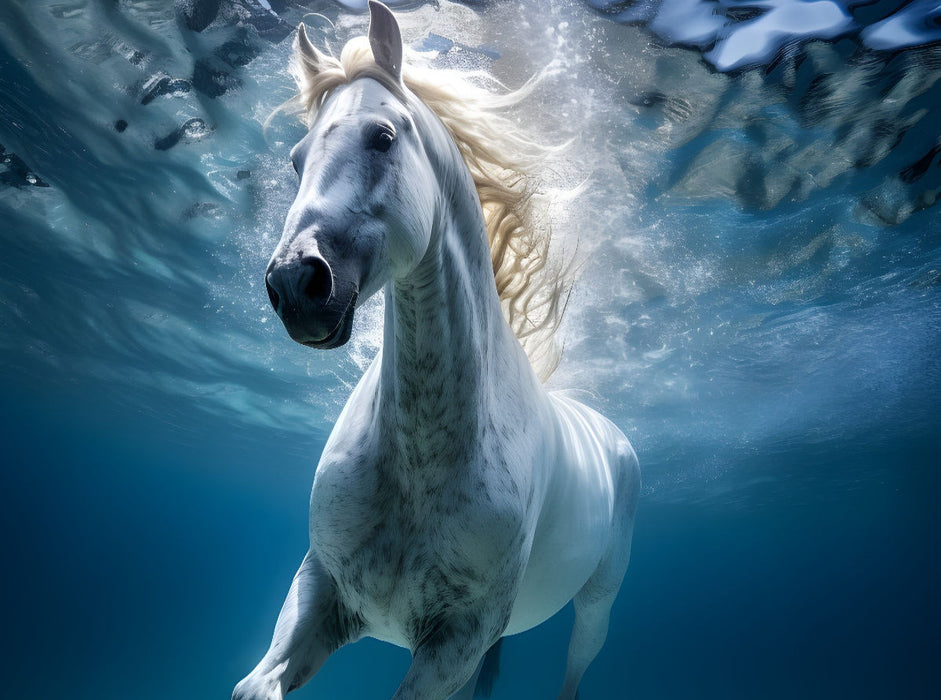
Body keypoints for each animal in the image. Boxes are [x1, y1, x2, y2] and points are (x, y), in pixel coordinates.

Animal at [234, 3, 640, 699]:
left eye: (382, 137)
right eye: (294, 160)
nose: (293, 283)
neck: (420, 466)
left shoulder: (455, 642)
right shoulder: (321, 588)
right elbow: (254, 686)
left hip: (596, 607)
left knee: (578, 662)